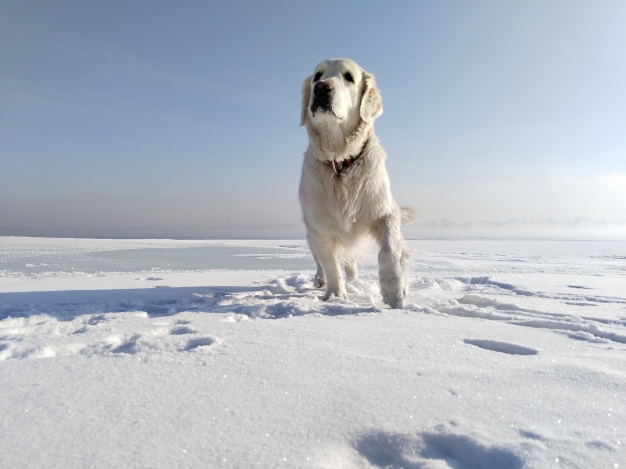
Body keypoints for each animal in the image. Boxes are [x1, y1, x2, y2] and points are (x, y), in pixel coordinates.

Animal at [296, 57, 410, 308]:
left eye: (348, 77)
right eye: (317, 76)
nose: (322, 88)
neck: (340, 162)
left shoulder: (385, 212)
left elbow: (389, 250)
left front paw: (394, 292)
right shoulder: (319, 227)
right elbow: (330, 264)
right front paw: (336, 296)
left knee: (351, 263)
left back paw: (356, 281)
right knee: (320, 263)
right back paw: (320, 280)